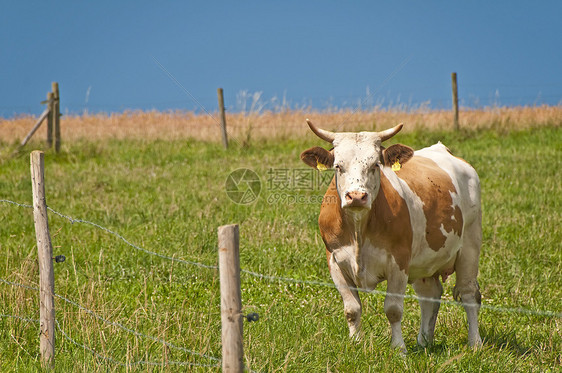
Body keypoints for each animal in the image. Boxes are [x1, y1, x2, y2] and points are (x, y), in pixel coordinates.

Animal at [300, 120, 480, 352]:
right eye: (338, 166)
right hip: (424, 262)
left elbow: (393, 310)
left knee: (468, 294)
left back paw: (475, 343)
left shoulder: (399, 262)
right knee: (429, 295)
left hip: (470, 245)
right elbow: (352, 309)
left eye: (376, 165)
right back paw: (424, 341)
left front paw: (399, 349)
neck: (359, 229)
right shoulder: (335, 261)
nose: (356, 196)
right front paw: (355, 344)